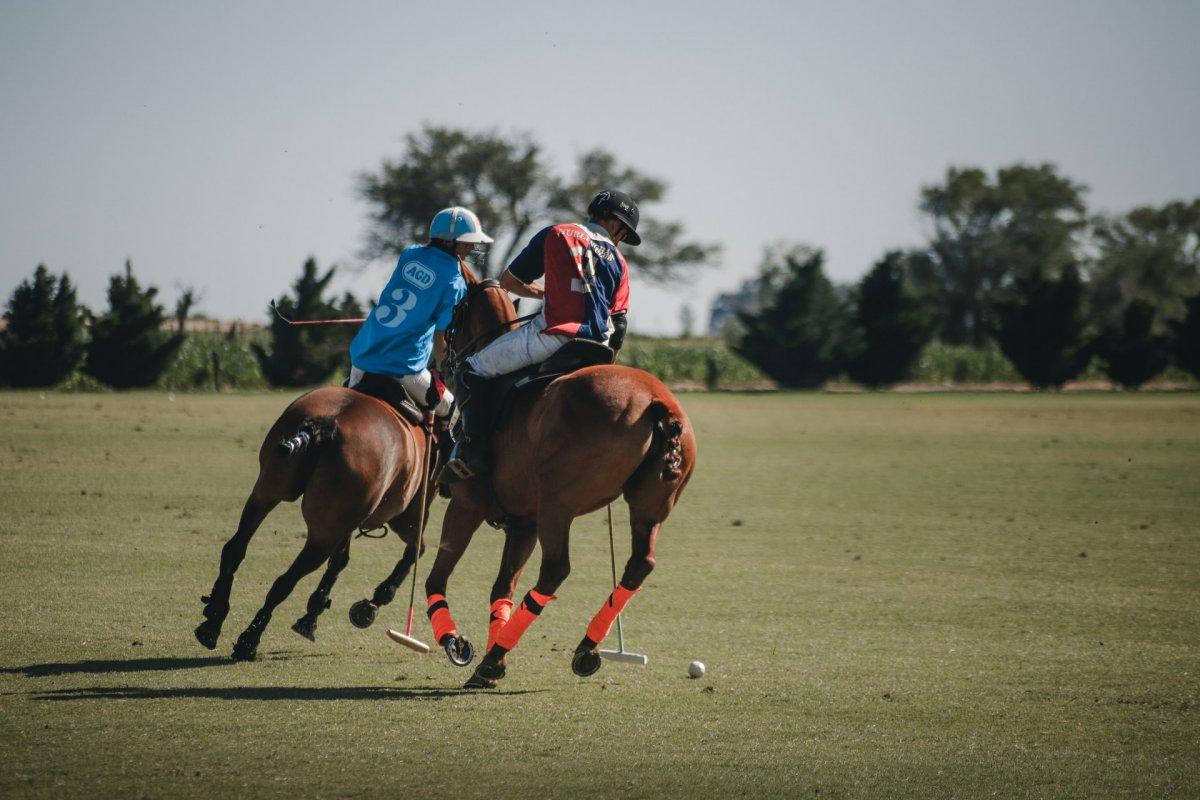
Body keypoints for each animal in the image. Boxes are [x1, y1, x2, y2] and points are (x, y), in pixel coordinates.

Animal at [196, 383, 446, 662]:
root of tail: (324, 424)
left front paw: (313, 614)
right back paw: (248, 641)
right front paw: (370, 605)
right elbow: (416, 550)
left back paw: (212, 622)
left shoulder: (349, 521)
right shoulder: (409, 512)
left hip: (268, 488)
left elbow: (341, 560)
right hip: (328, 527)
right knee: (285, 580)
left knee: (235, 548)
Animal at [417, 267, 700, 690]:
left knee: (555, 570)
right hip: (649, 505)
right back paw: (583, 650)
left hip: (557, 501)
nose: (439, 365)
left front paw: (458, 644)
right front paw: (493, 654)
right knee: (640, 563)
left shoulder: (468, 504)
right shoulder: (524, 523)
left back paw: (493, 660)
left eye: (454, 314)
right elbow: (501, 588)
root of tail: (658, 403)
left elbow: (436, 579)